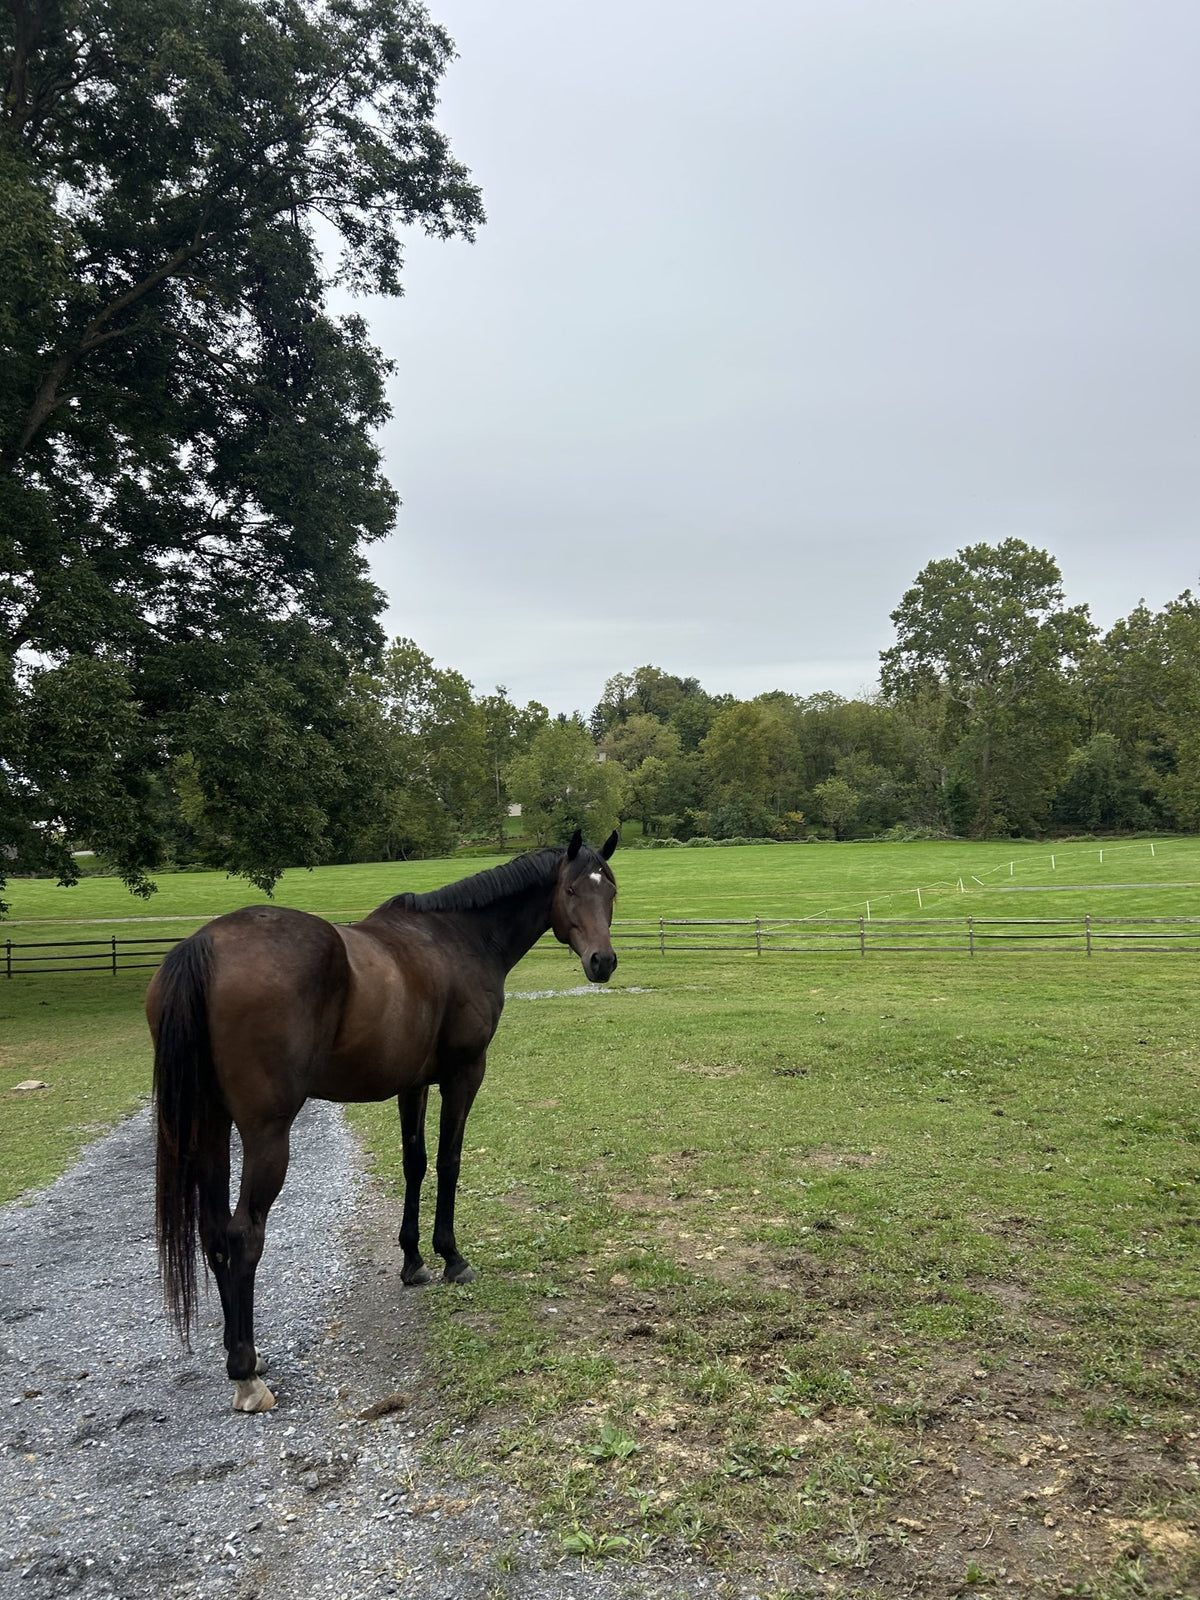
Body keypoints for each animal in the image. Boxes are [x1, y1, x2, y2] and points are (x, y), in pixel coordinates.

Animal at [148, 829, 618, 1413]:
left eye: (611, 891)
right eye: (572, 889)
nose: (603, 961)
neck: (457, 939)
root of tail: (205, 945)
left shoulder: (412, 1084)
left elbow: (415, 1163)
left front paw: (413, 1260)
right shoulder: (463, 1074)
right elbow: (449, 1161)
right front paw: (452, 1257)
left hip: (207, 1128)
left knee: (212, 1231)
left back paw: (244, 1355)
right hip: (264, 1134)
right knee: (242, 1234)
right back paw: (246, 1373)